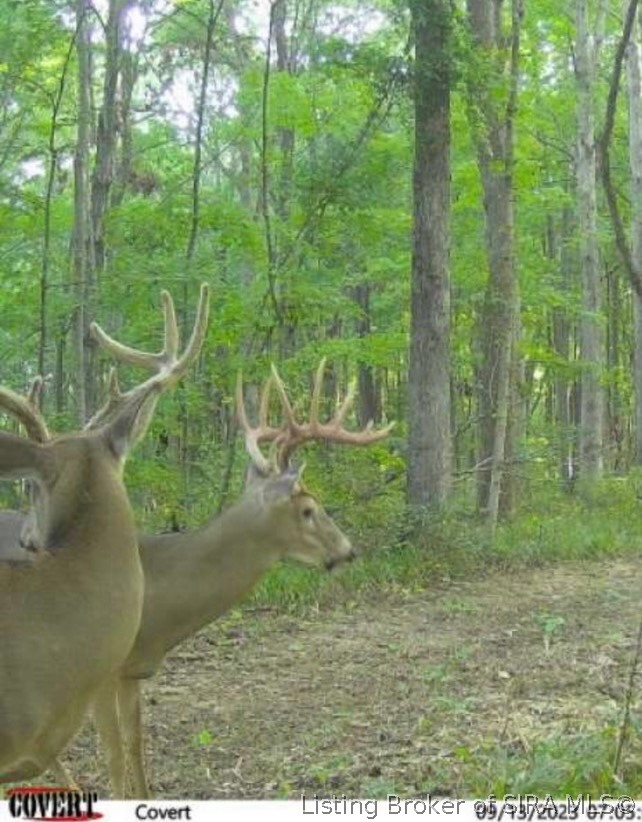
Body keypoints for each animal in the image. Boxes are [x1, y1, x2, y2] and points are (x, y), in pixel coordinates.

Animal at [0, 359, 392, 797]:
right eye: (308, 509)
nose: (347, 549)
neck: (158, 594)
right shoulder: (102, 674)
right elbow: (114, 755)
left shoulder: (133, 671)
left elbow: (135, 745)